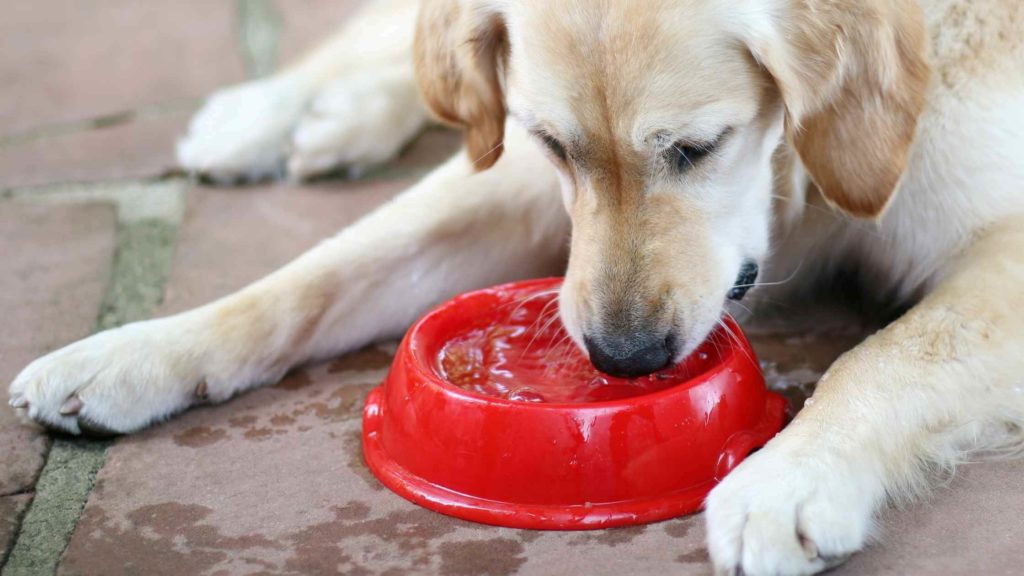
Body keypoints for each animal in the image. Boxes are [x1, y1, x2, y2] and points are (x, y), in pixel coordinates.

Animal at [9, 0, 1024, 569]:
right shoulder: (516, 175)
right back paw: (273, 112)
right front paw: (134, 352)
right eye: (554, 144)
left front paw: (789, 480)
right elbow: (316, 273)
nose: (623, 359)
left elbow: (886, 357)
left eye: (698, 148)